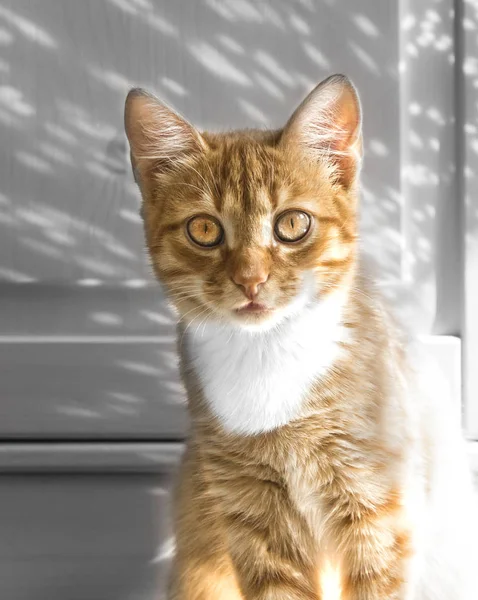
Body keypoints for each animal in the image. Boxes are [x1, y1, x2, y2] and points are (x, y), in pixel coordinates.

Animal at [125, 75, 476, 600]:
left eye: (292, 224)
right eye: (204, 229)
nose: (250, 280)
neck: (270, 360)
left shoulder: (379, 514)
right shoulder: (252, 513)